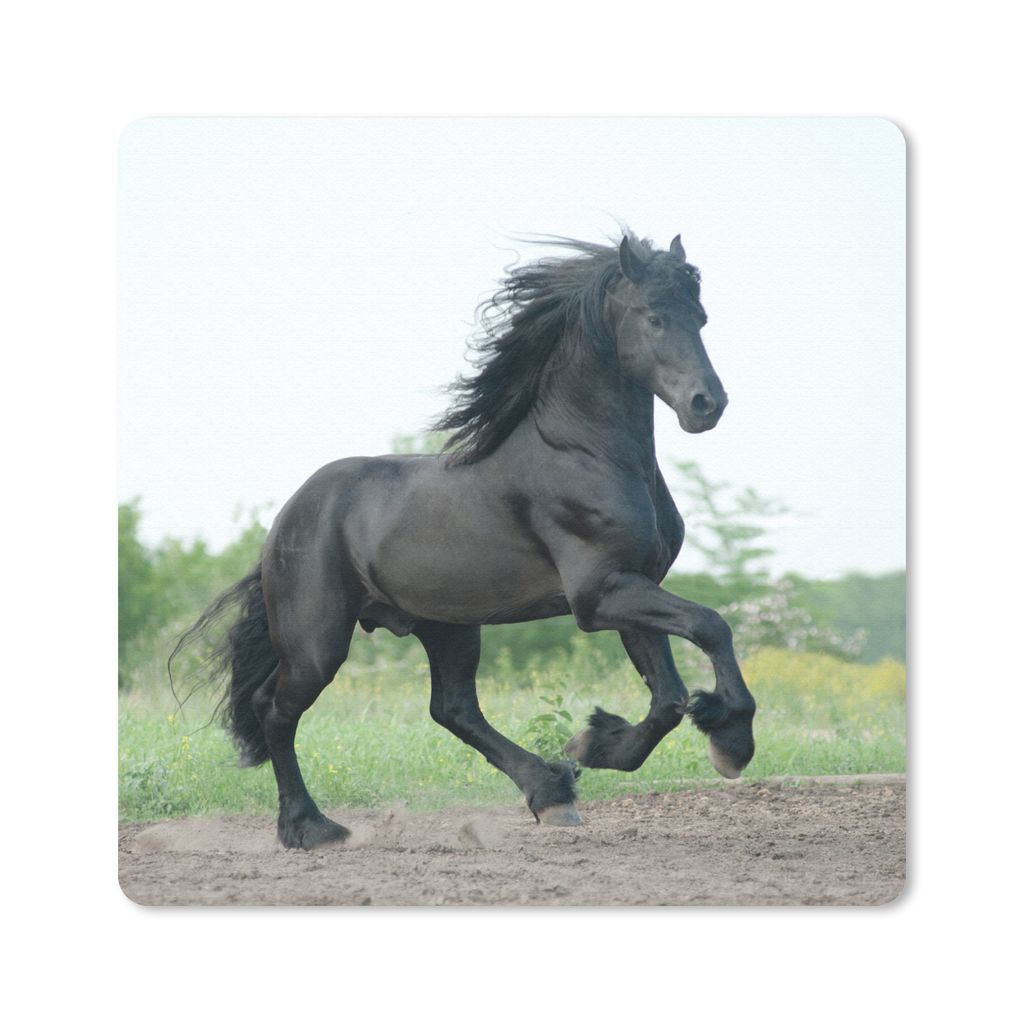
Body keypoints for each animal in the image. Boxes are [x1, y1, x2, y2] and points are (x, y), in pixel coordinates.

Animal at [172, 231, 757, 849]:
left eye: (700, 317)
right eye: (653, 317)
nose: (707, 404)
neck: (585, 455)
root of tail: (286, 518)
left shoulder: (629, 587)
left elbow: (668, 697)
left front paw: (593, 744)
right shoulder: (599, 596)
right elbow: (711, 626)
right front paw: (732, 744)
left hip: (447, 626)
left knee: (452, 709)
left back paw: (551, 791)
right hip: (318, 640)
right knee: (276, 709)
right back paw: (311, 827)